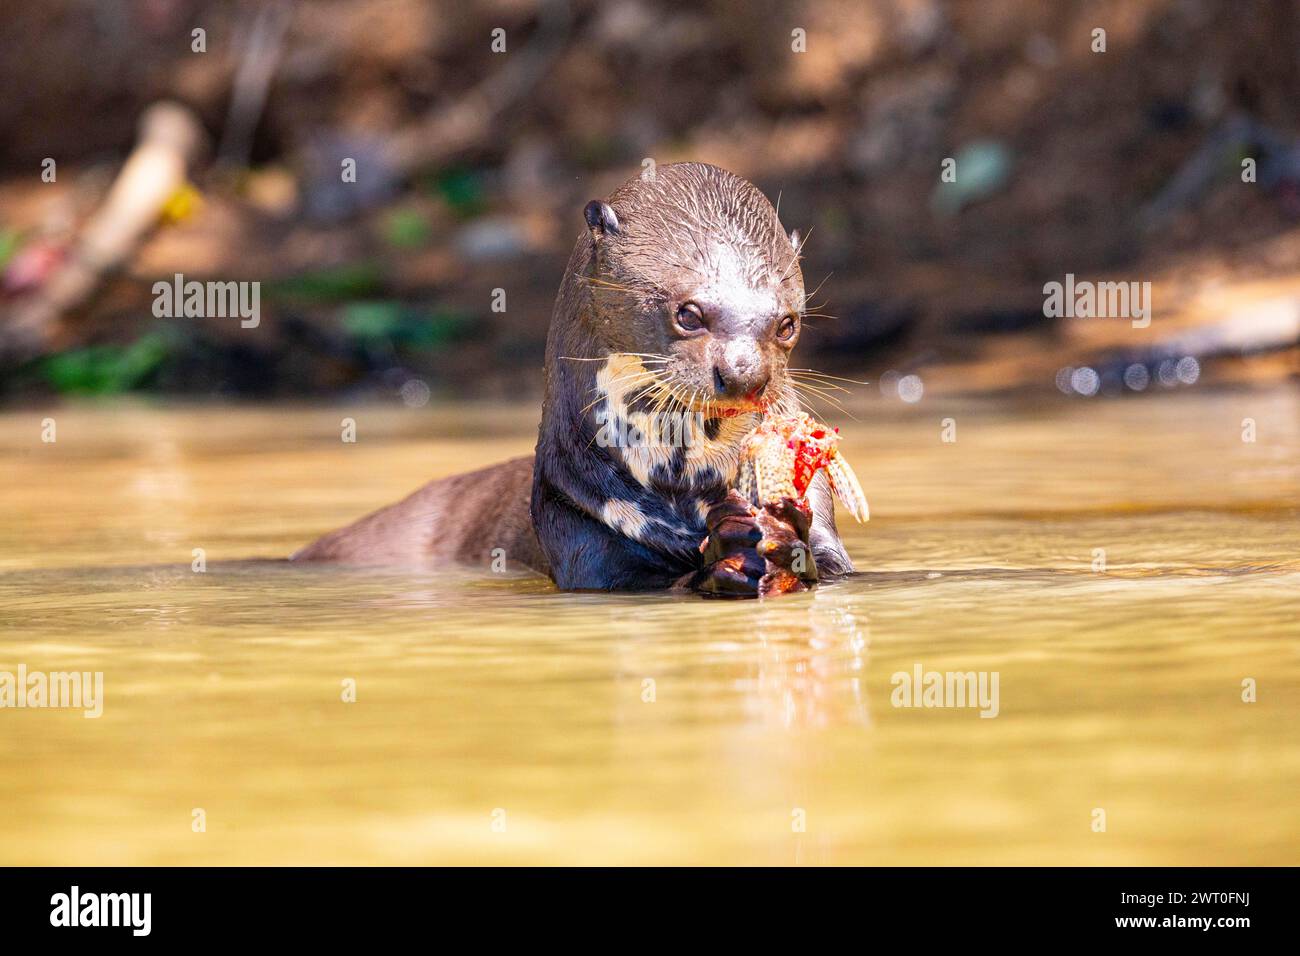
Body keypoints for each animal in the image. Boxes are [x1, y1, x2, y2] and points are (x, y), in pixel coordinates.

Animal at [299, 164, 857, 598]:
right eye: (689, 313)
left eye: (788, 324)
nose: (746, 374)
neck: (682, 493)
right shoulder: (577, 526)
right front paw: (730, 554)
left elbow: (833, 564)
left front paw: (783, 539)